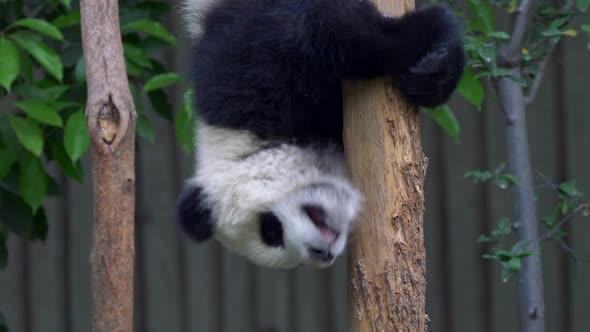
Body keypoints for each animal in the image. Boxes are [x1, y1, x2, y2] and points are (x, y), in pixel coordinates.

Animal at [177, 0, 468, 270]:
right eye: (278, 244)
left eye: (270, 230)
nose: (322, 253)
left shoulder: (244, 76)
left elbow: (330, 31)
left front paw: (430, 40)